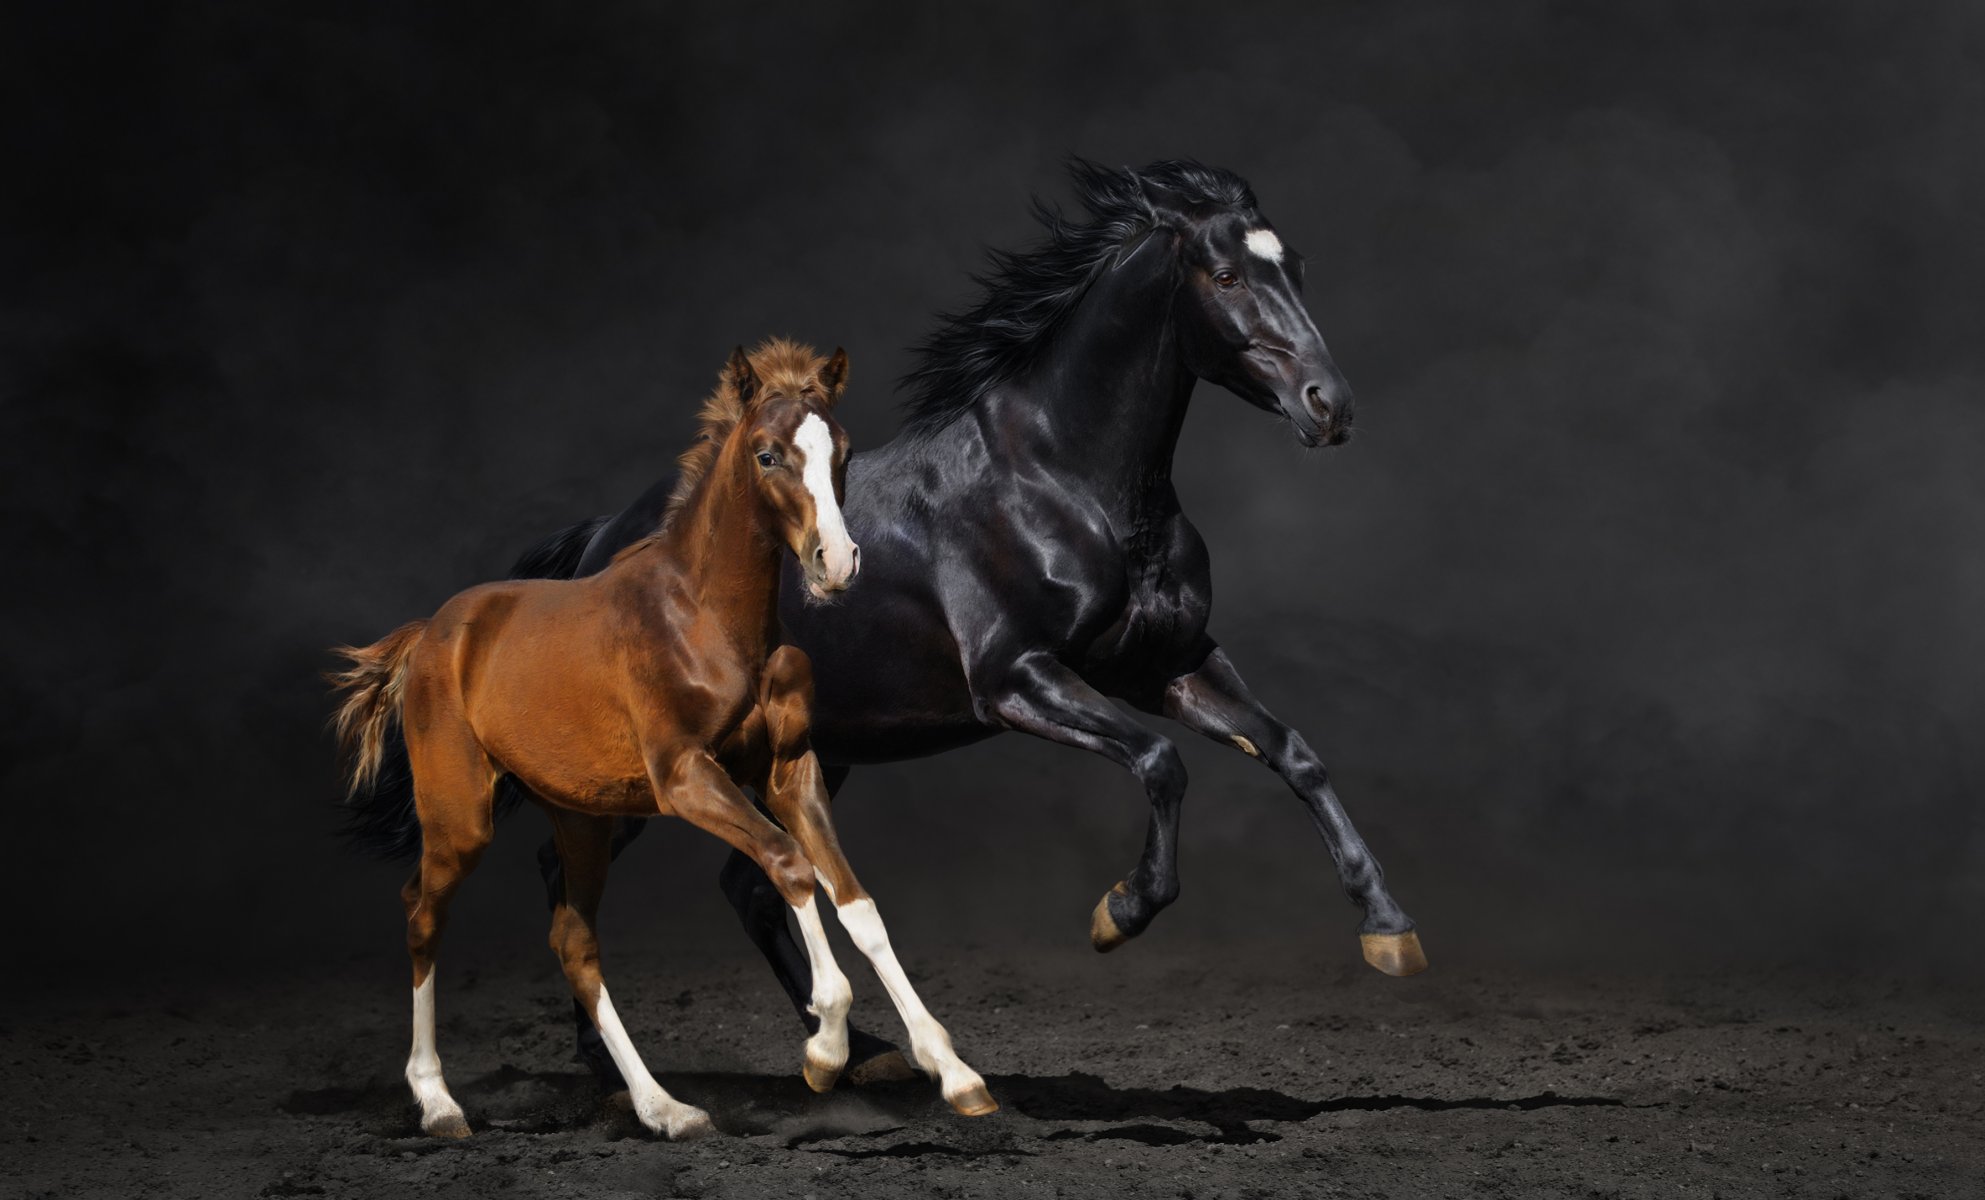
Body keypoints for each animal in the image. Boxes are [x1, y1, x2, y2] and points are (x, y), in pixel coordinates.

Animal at [329, 341, 996, 1139]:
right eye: (767, 454)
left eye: (842, 451)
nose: (835, 563)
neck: (706, 617)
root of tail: (431, 631)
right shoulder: (684, 776)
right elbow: (789, 864)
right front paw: (826, 1047)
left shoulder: (788, 771)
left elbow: (855, 901)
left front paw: (953, 1072)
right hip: (460, 815)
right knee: (423, 914)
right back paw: (436, 1101)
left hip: (581, 818)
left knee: (573, 940)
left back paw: (664, 1108)